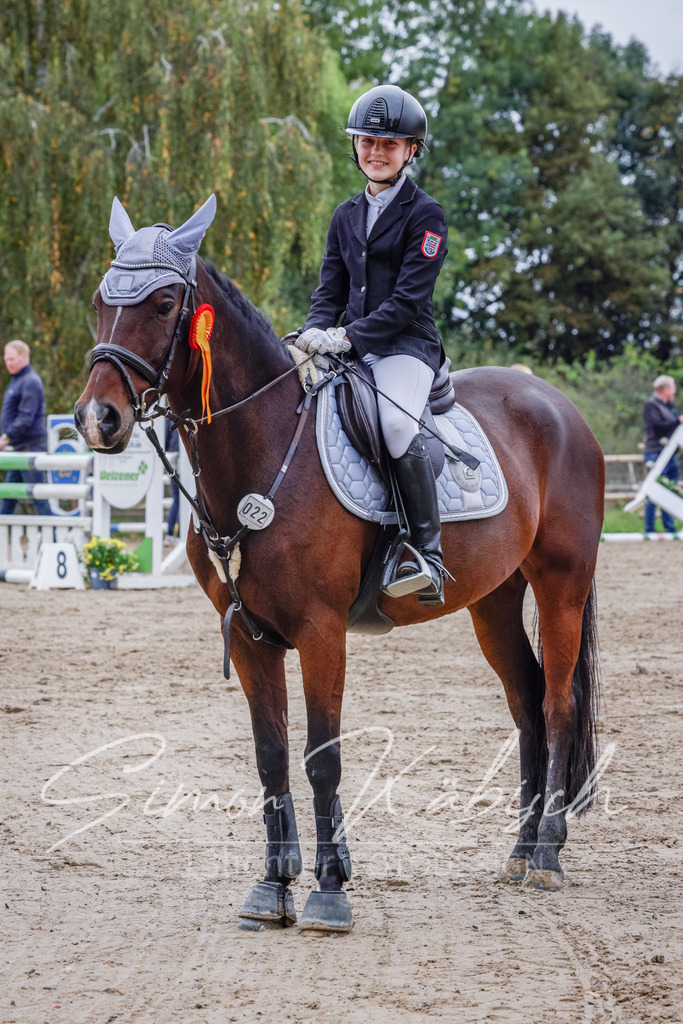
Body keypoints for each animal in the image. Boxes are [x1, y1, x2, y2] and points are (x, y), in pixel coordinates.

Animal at [74, 196, 604, 933]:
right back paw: (520, 852)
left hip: (561, 584)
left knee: (556, 703)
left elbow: (321, 757)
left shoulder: (321, 631)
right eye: (102, 300)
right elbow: (271, 756)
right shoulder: (250, 636)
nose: (98, 419)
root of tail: (558, 407)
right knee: (525, 702)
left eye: (161, 303)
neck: (265, 448)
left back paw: (549, 853)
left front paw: (329, 891)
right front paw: (272, 889)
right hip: (495, 599)